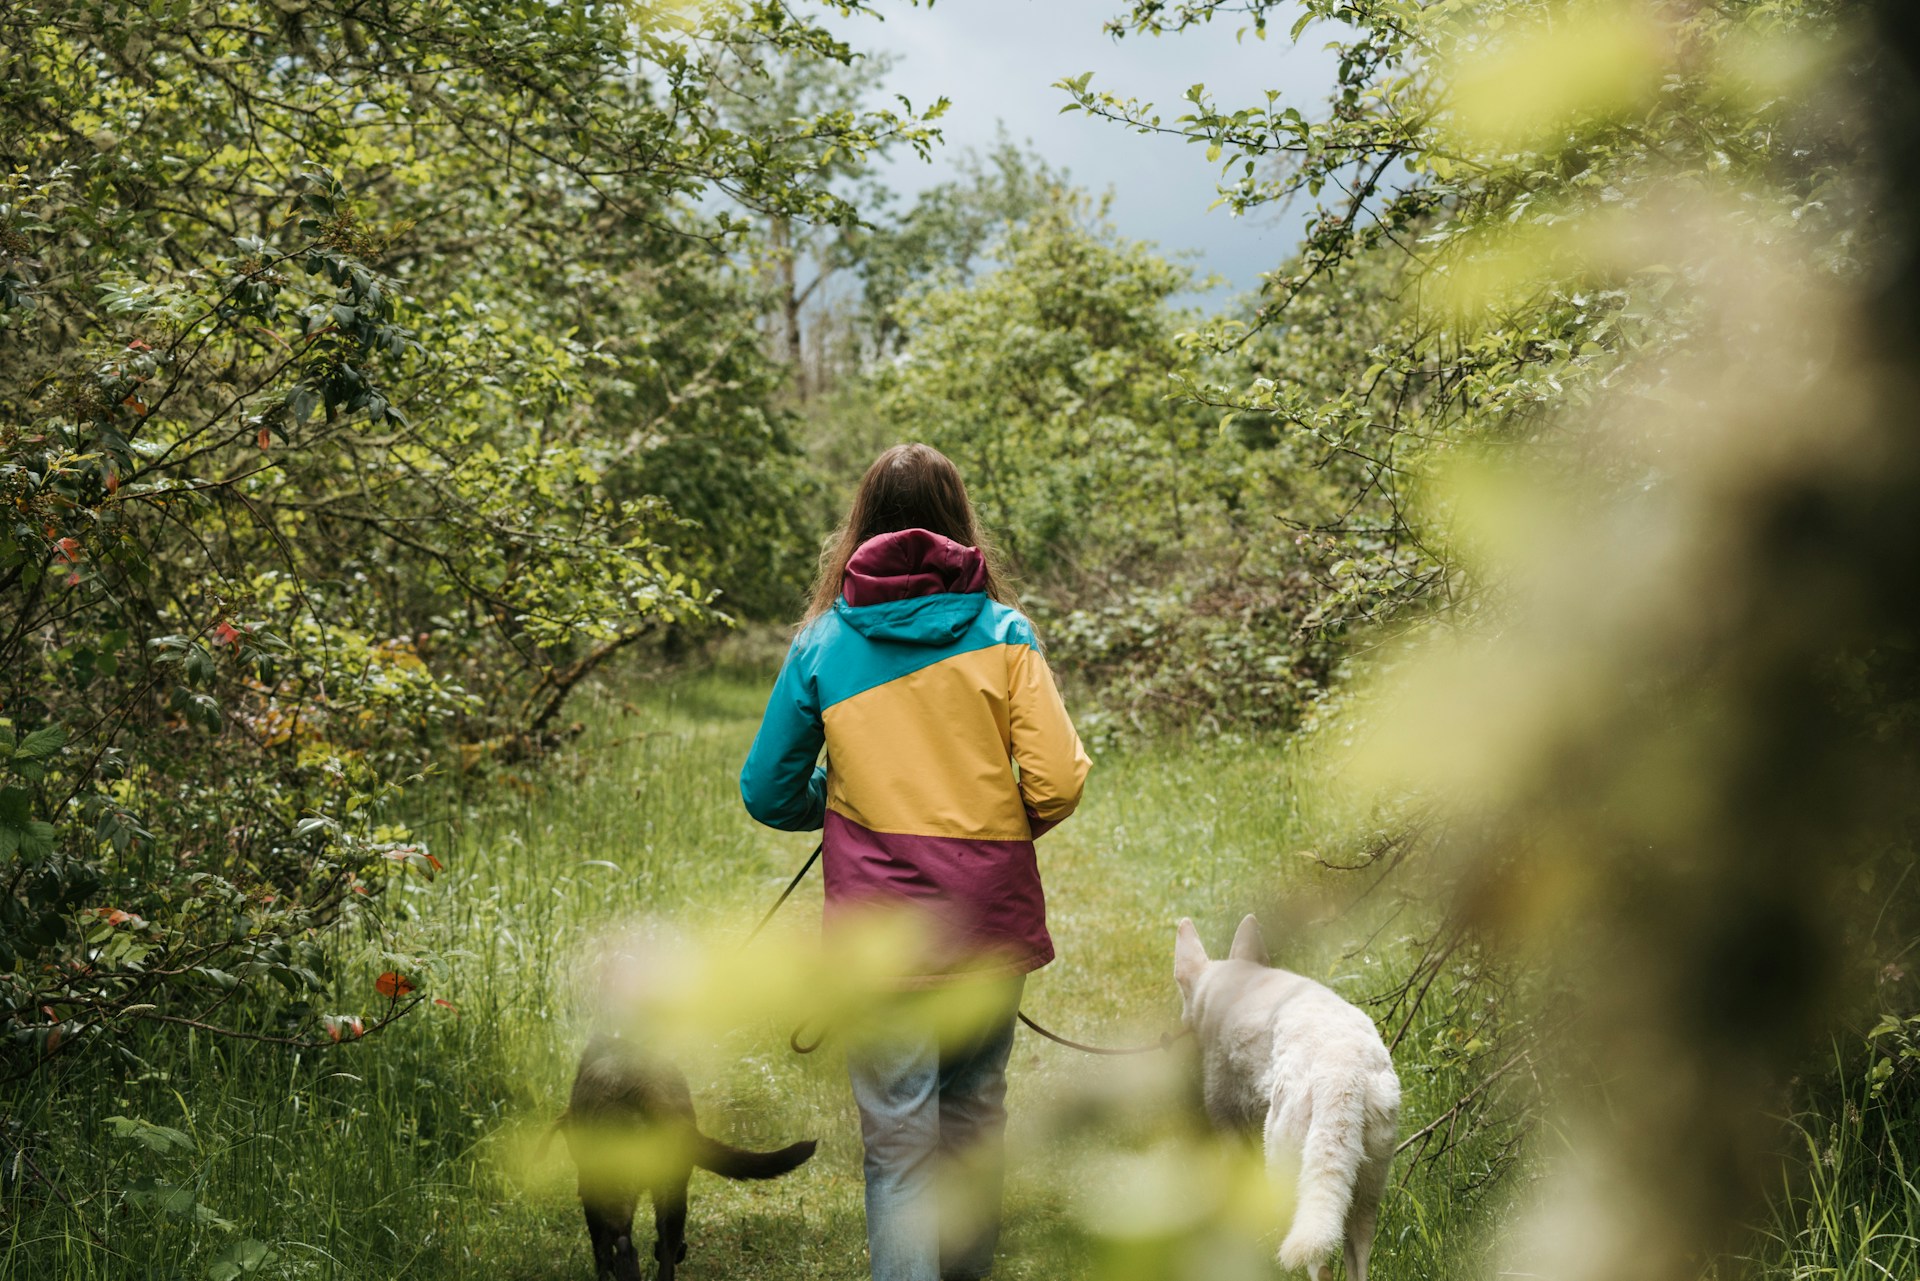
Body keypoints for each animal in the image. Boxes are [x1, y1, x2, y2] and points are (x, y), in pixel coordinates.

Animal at [560, 1029, 821, 1281]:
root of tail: (647, 1087)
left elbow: (600, 1249)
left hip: (615, 1188)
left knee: (623, 1245)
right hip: (670, 1189)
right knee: (666, 1250)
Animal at [1167, 918, 1397, 1275]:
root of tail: (1340, 1071)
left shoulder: (1227, 1123)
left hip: (1283, 1163)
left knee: (1318, 1264)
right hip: (1366, 1186)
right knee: (1356, 1256)